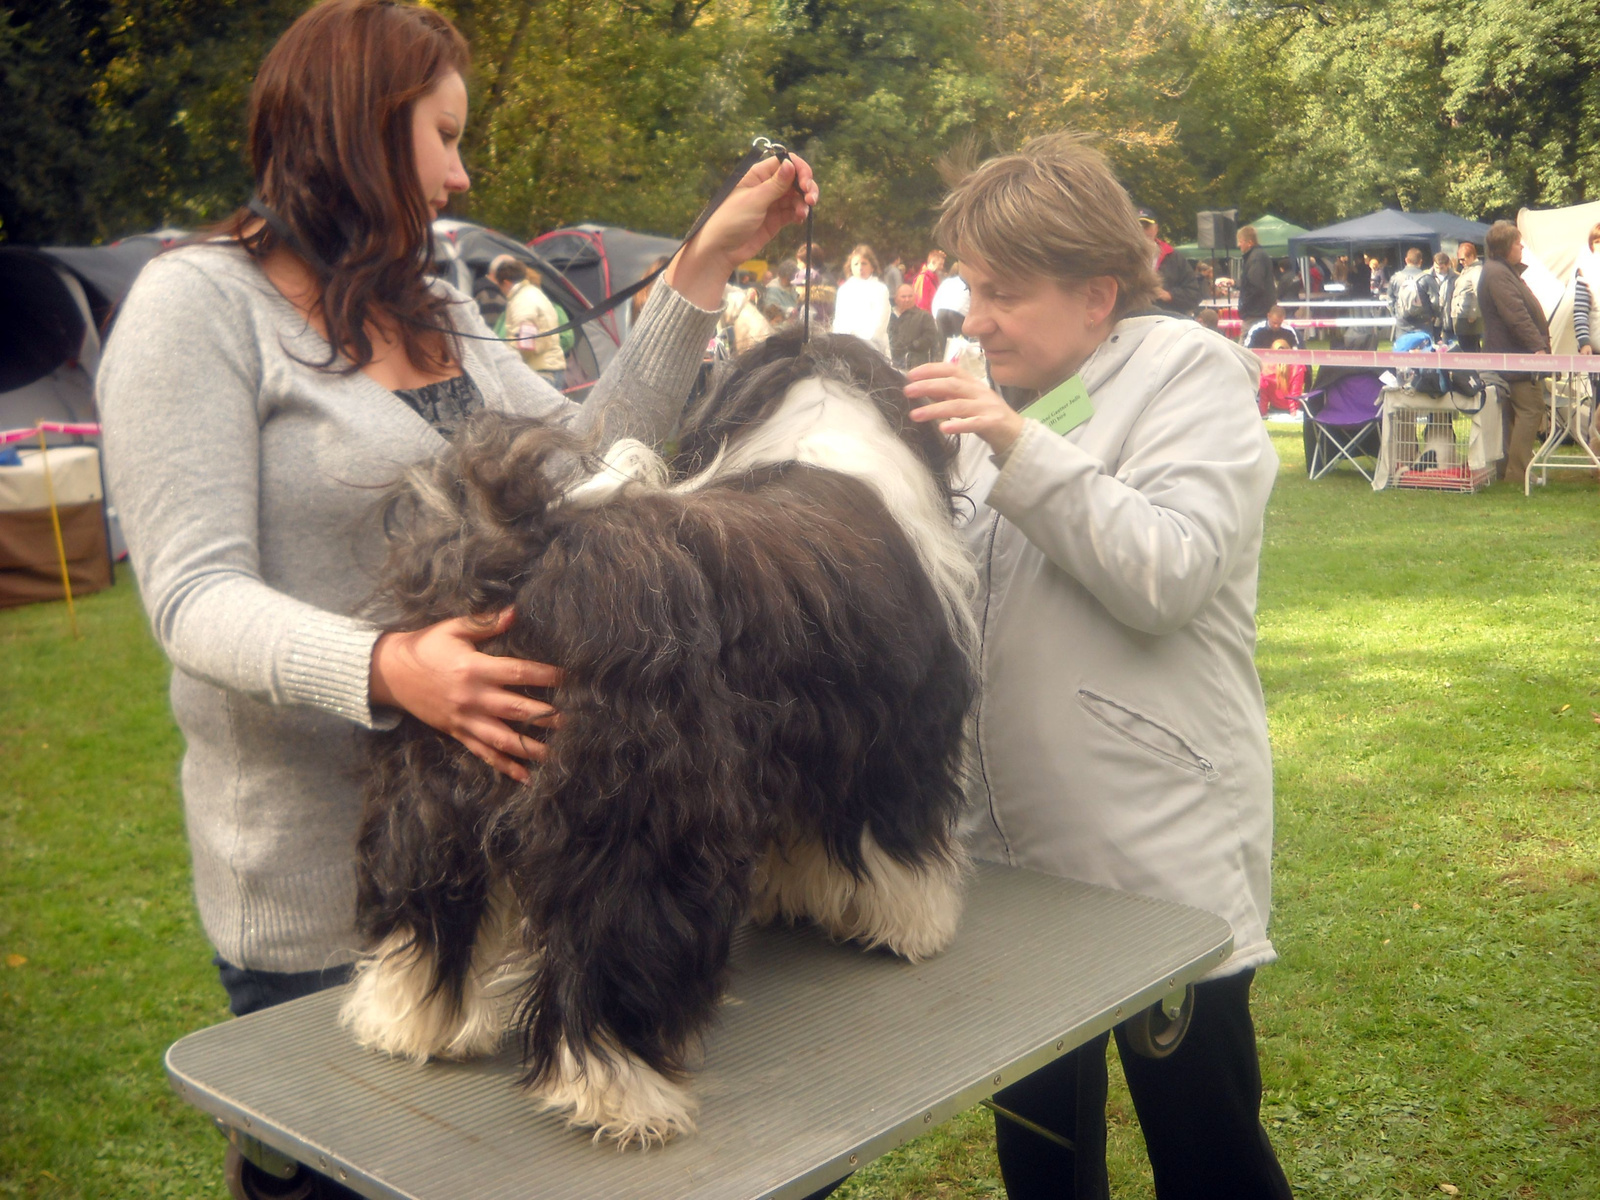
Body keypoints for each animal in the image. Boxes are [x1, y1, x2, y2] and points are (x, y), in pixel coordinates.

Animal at [344, 326, 979, 1145]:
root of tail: (526, 554)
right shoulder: (895, 735)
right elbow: (898, 846)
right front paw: (915, 927)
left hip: (435, 779)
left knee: (428, 908)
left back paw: (410, 1023)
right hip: (640, 810)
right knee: (610, 944)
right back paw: (621, 1095)